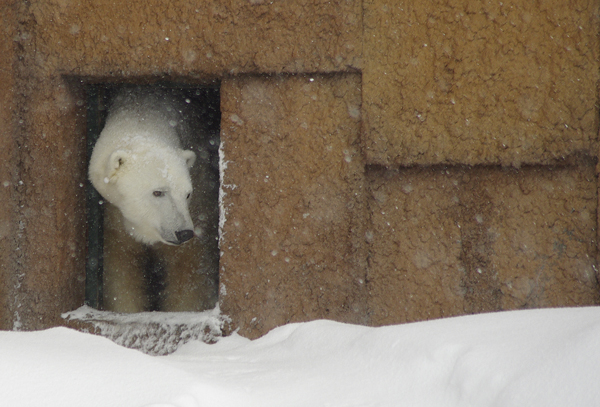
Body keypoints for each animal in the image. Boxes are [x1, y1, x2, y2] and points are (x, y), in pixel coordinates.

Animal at [88, 88, 219, 312]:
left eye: (187, 194)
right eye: (157, 192)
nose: (184, 233)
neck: (143, 112)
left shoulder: (200, 196)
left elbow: (188, 270)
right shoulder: (114, 217)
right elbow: (121, 269)